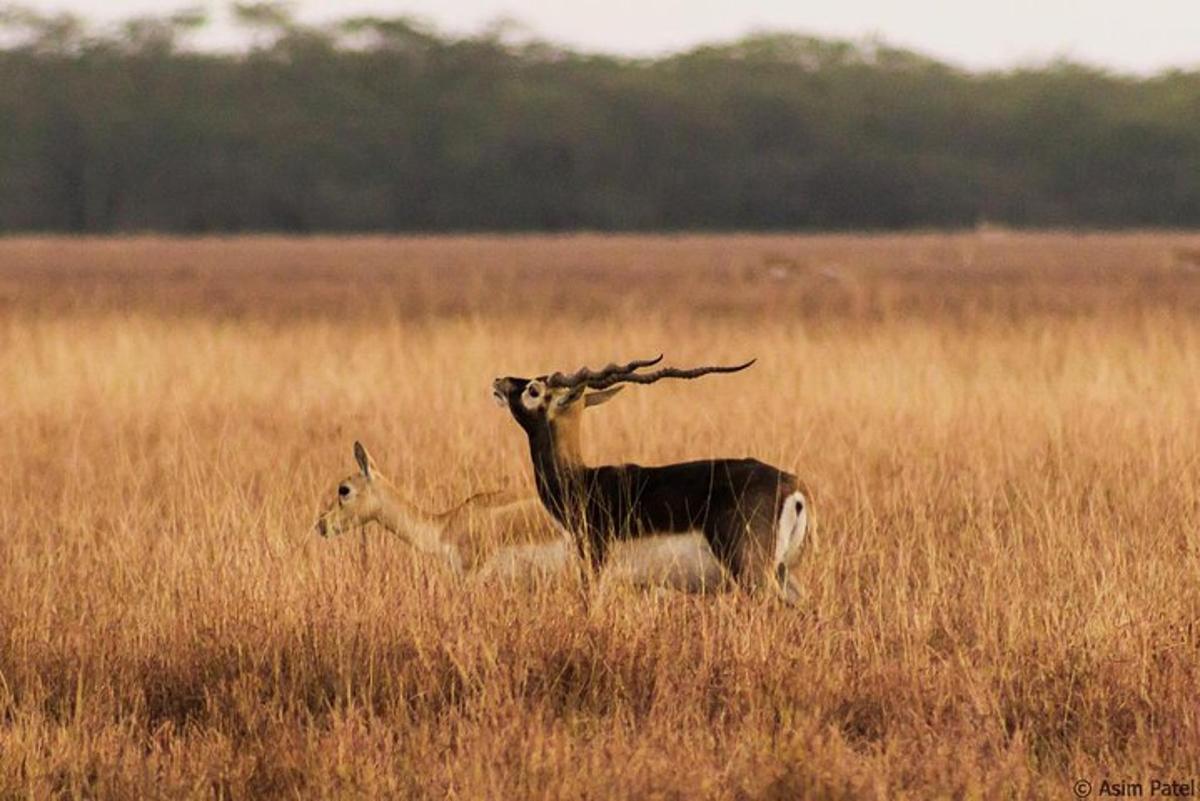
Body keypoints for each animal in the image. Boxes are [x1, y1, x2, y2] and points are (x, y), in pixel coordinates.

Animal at [492, 357, 811, 599]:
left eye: (533, 390)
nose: (499, 382)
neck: (582, 482)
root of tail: (792, 488)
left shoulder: (595, 565)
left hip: (752, 574)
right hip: (782, 572)